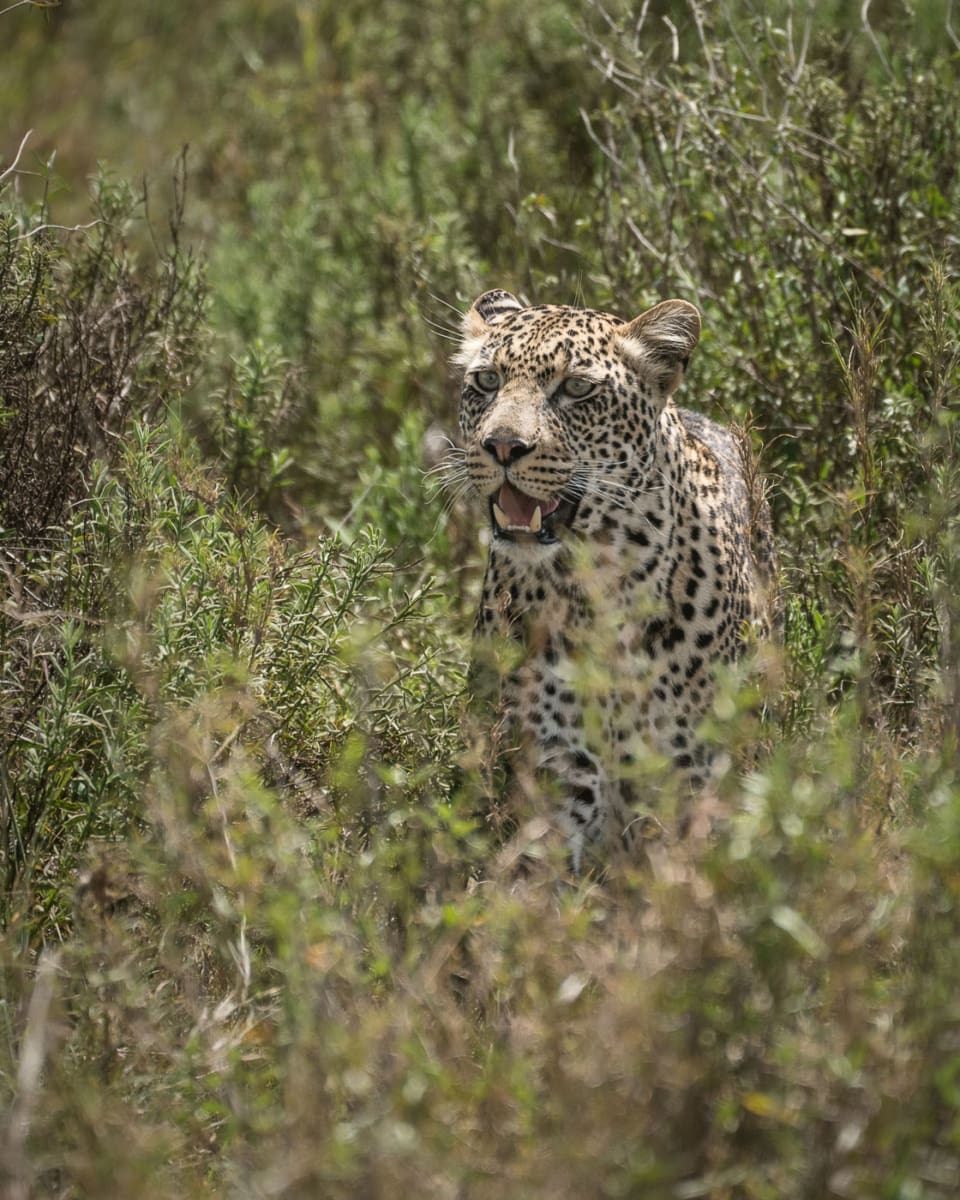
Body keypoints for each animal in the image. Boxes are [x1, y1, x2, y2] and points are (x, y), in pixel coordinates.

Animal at [446, 290, 777, 873]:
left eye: (576, 388)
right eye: (486, 381)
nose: (501, 446)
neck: (599, 576)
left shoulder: (690, 770)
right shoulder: (557, 767)